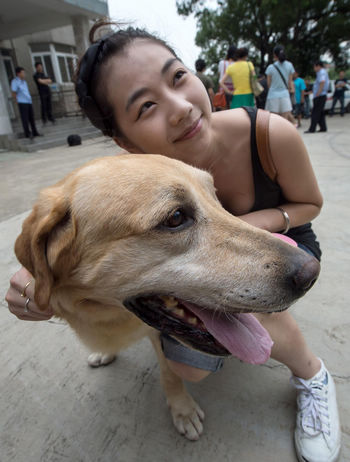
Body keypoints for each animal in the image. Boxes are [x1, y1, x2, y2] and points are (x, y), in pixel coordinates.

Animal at [14, 154, 320, 440]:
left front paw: (182, 411)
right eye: (175, 217)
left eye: (216, 198)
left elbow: (170, 374)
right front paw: (105, 351)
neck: (107, 314)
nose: (311, 273)